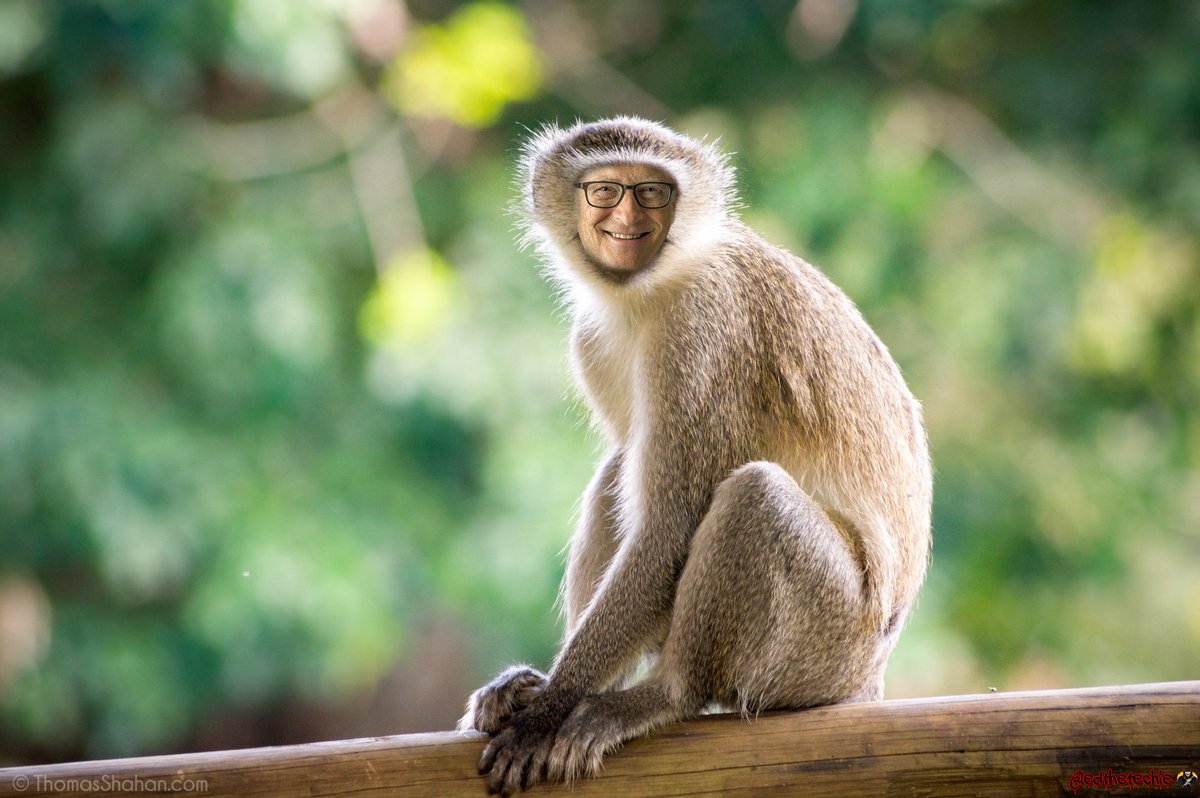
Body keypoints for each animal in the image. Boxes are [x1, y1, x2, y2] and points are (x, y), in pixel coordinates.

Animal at [459, 117, 932, 795]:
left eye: (654, 192)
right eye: (605, 190)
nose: (629, 222)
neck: (652, 285)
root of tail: (868, 679)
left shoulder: (701, 331)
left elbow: (671, 527)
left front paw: (550, 708)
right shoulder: (591, 338)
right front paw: (537, 691)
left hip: (829, 642)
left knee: (754, 498)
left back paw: (664, 696)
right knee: (621, 469)